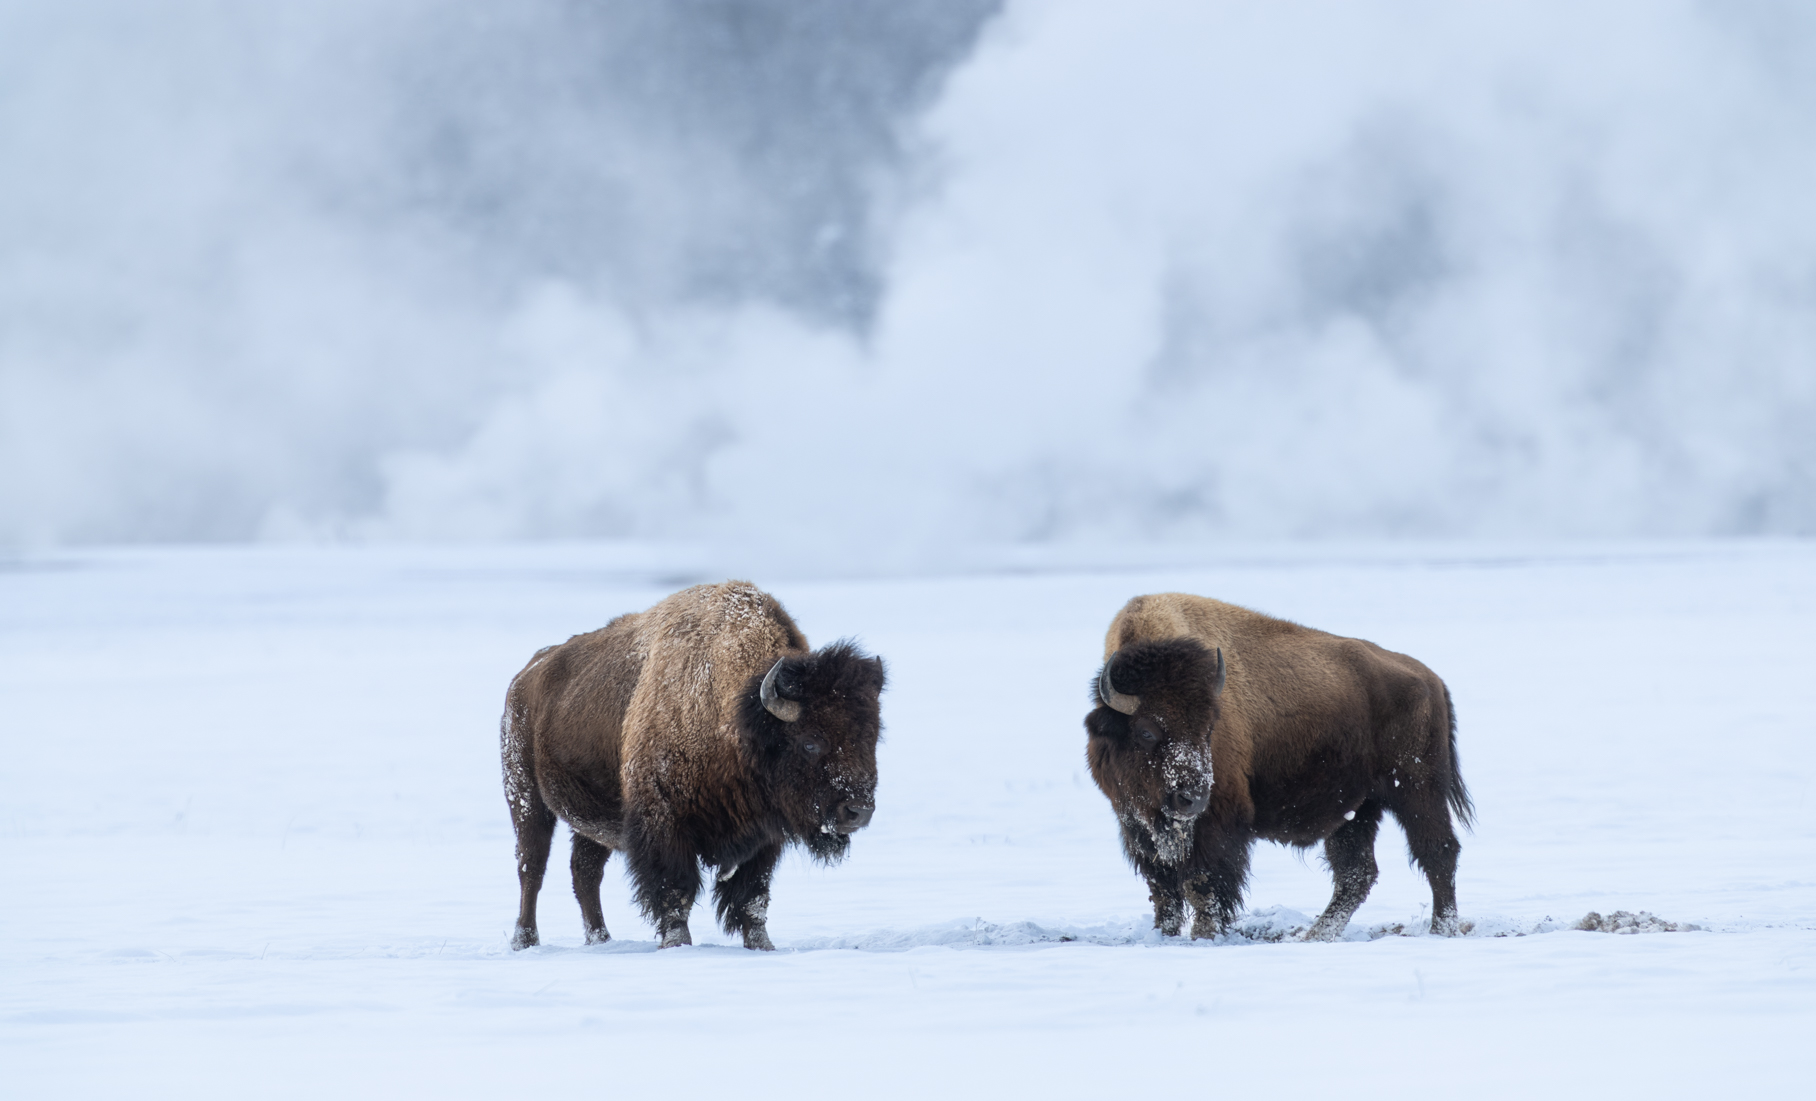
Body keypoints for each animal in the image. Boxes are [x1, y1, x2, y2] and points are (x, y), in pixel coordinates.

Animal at [501, 580, 886, 950]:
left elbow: (752, 898)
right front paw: (678, 944)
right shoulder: (663, 823)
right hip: (525, 797)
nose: (858, 811)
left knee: (584, 872)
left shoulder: (764, 838)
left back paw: (600, 939)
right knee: (531, 867)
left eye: (873, 737)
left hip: (593, 821)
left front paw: (762, 946)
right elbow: (676, 891)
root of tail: (523, 678)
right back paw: (525, 940)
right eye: (809, 741)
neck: (737, 716)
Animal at [1086, 593, 1473, 940]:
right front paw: (1164, 935)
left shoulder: (1217, 825)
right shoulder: (1136, 825)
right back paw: (1316, 935)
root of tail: (1431, 680)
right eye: (1146, 731)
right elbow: (1162, 890)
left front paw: (1204, 935)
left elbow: (1202, 884)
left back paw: (1441, 930)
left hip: (1416, 790)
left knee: (1437, 852)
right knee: (1356, 873)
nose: (1190, 798)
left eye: (1209, 728)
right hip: (1358, 809)